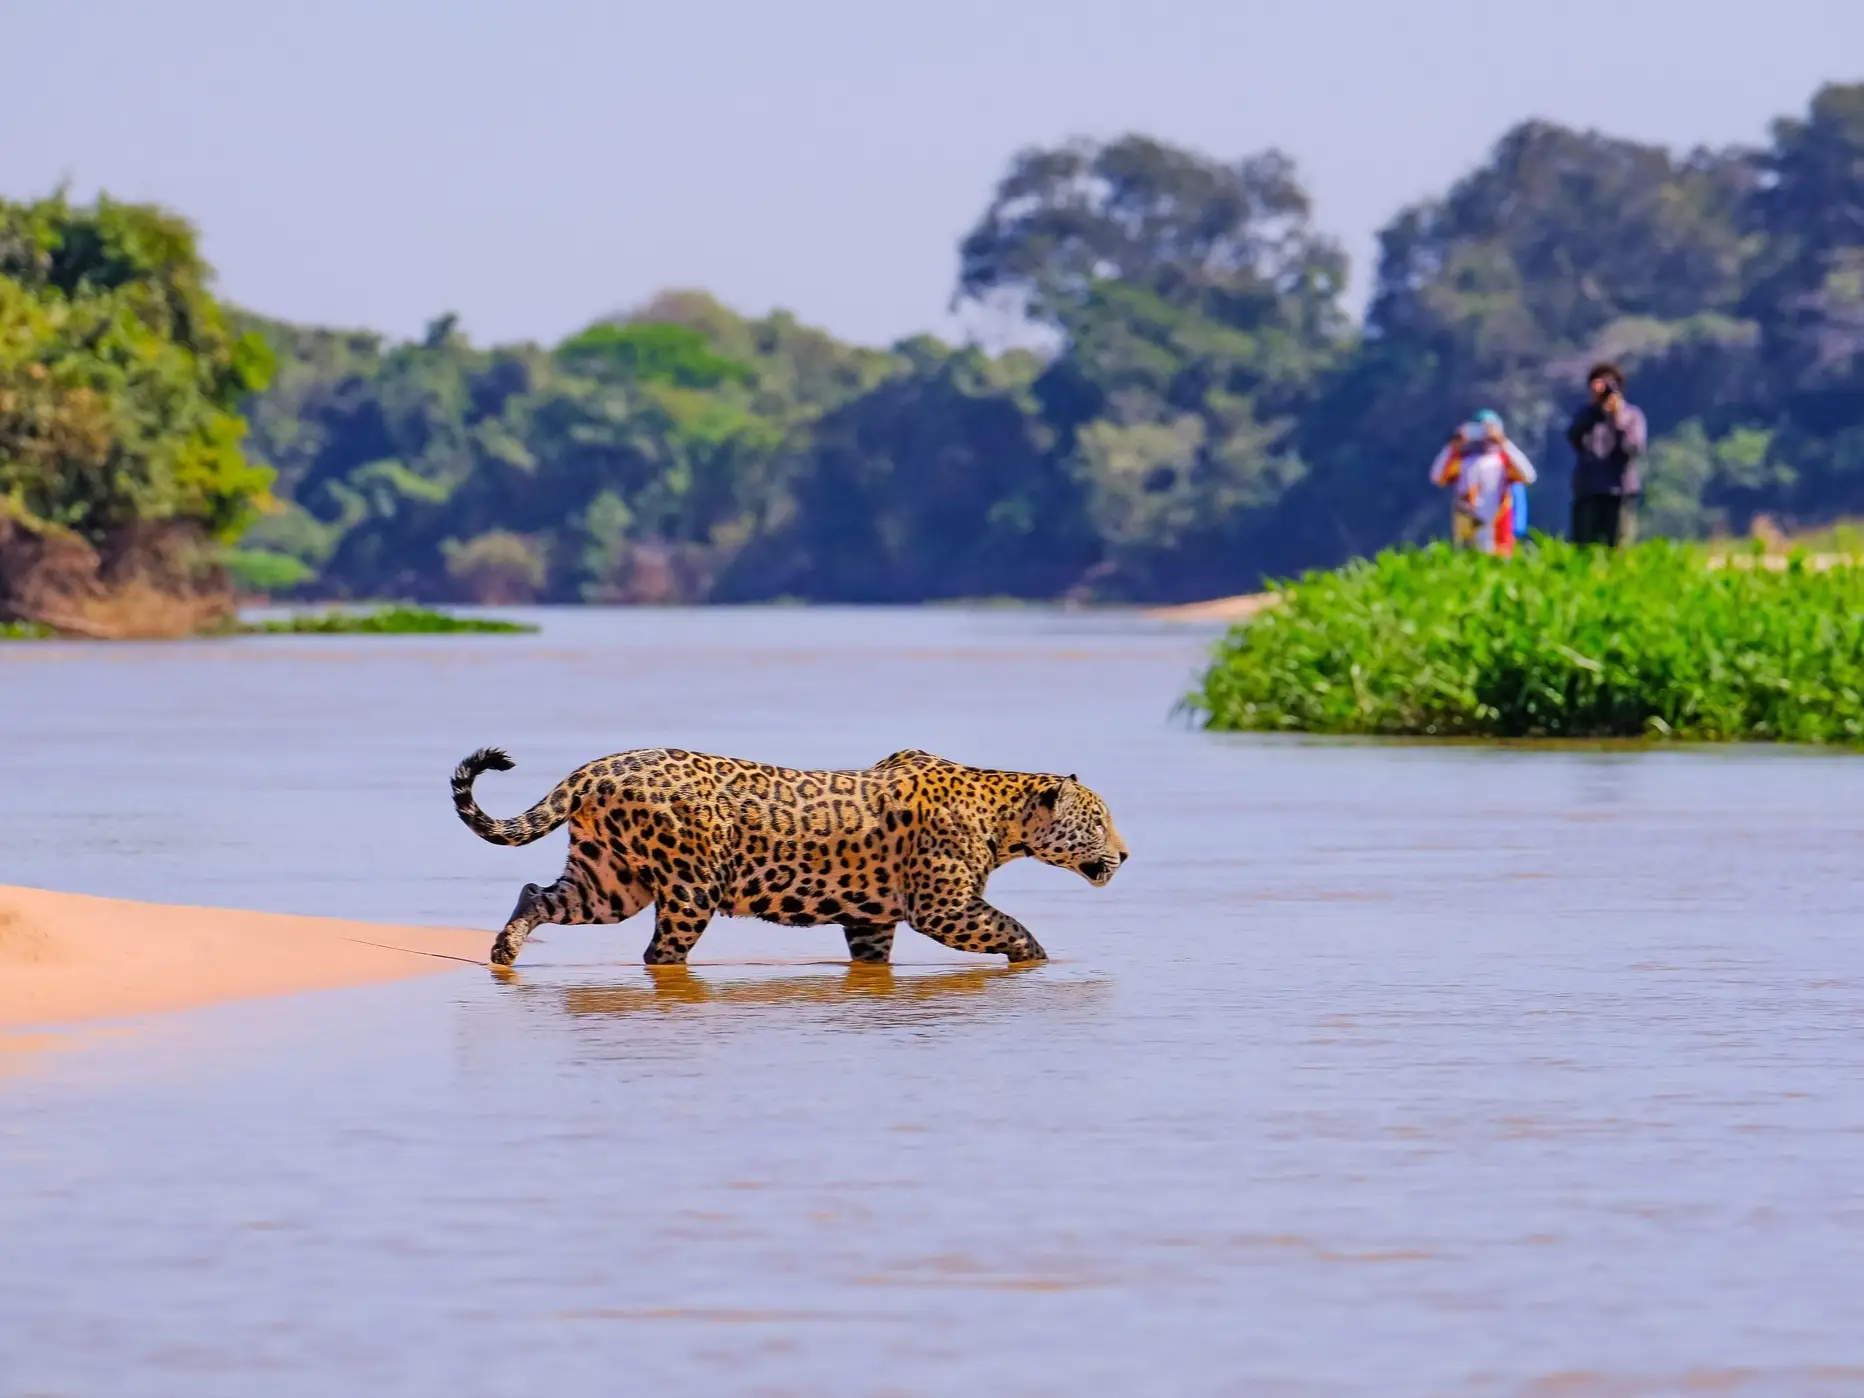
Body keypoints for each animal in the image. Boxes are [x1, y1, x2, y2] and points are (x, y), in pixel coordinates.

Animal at [450, 744, 1129, 968]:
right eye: (1098, 819)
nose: (1125, 855)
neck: (1002, 815)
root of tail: (594, 769)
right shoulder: (946, 906)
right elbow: (1012, 926)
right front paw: (1040, 961)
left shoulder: (871, 918)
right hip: (690, 889)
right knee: (659, 953)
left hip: (610, 881)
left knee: (540, 893)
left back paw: (505, 950)